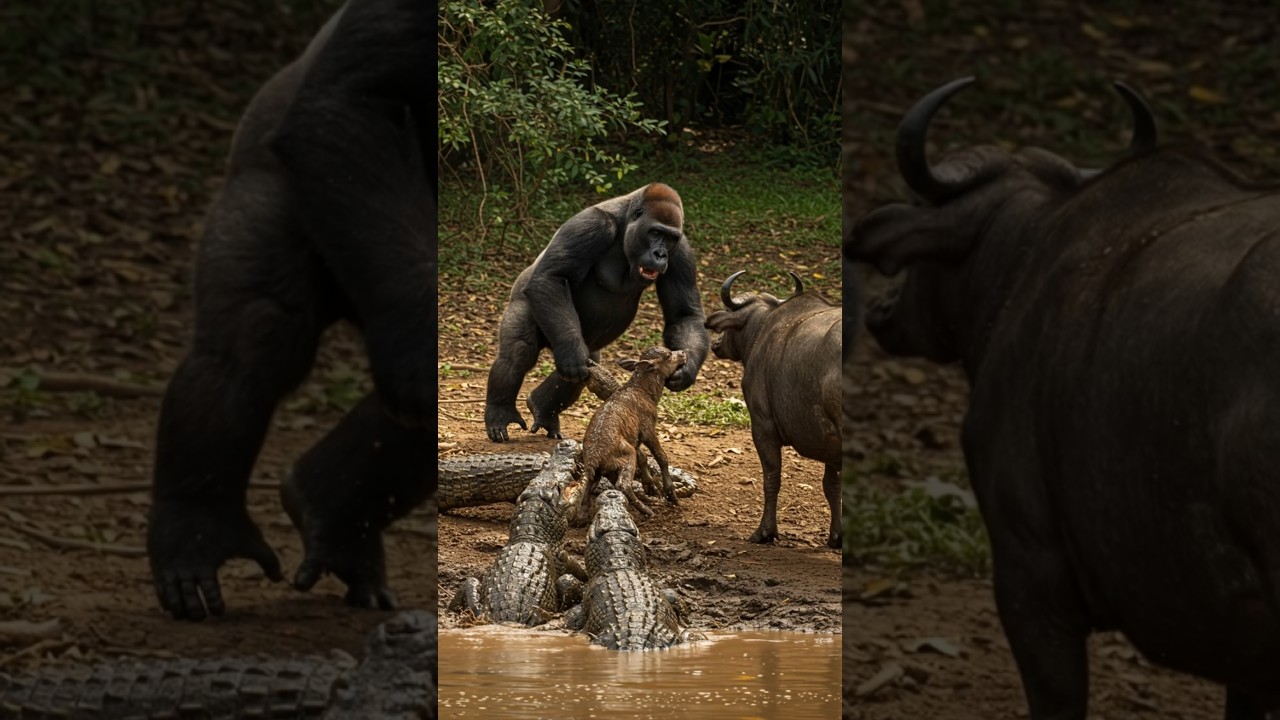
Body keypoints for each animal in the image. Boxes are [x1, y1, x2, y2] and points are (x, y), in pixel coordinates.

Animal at [704, 272, 842, 548]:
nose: (716, 343)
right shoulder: (829, 443)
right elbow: (832, 486)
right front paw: (836, 537)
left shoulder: (762, 427)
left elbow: (771, 478)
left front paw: (765, 531)